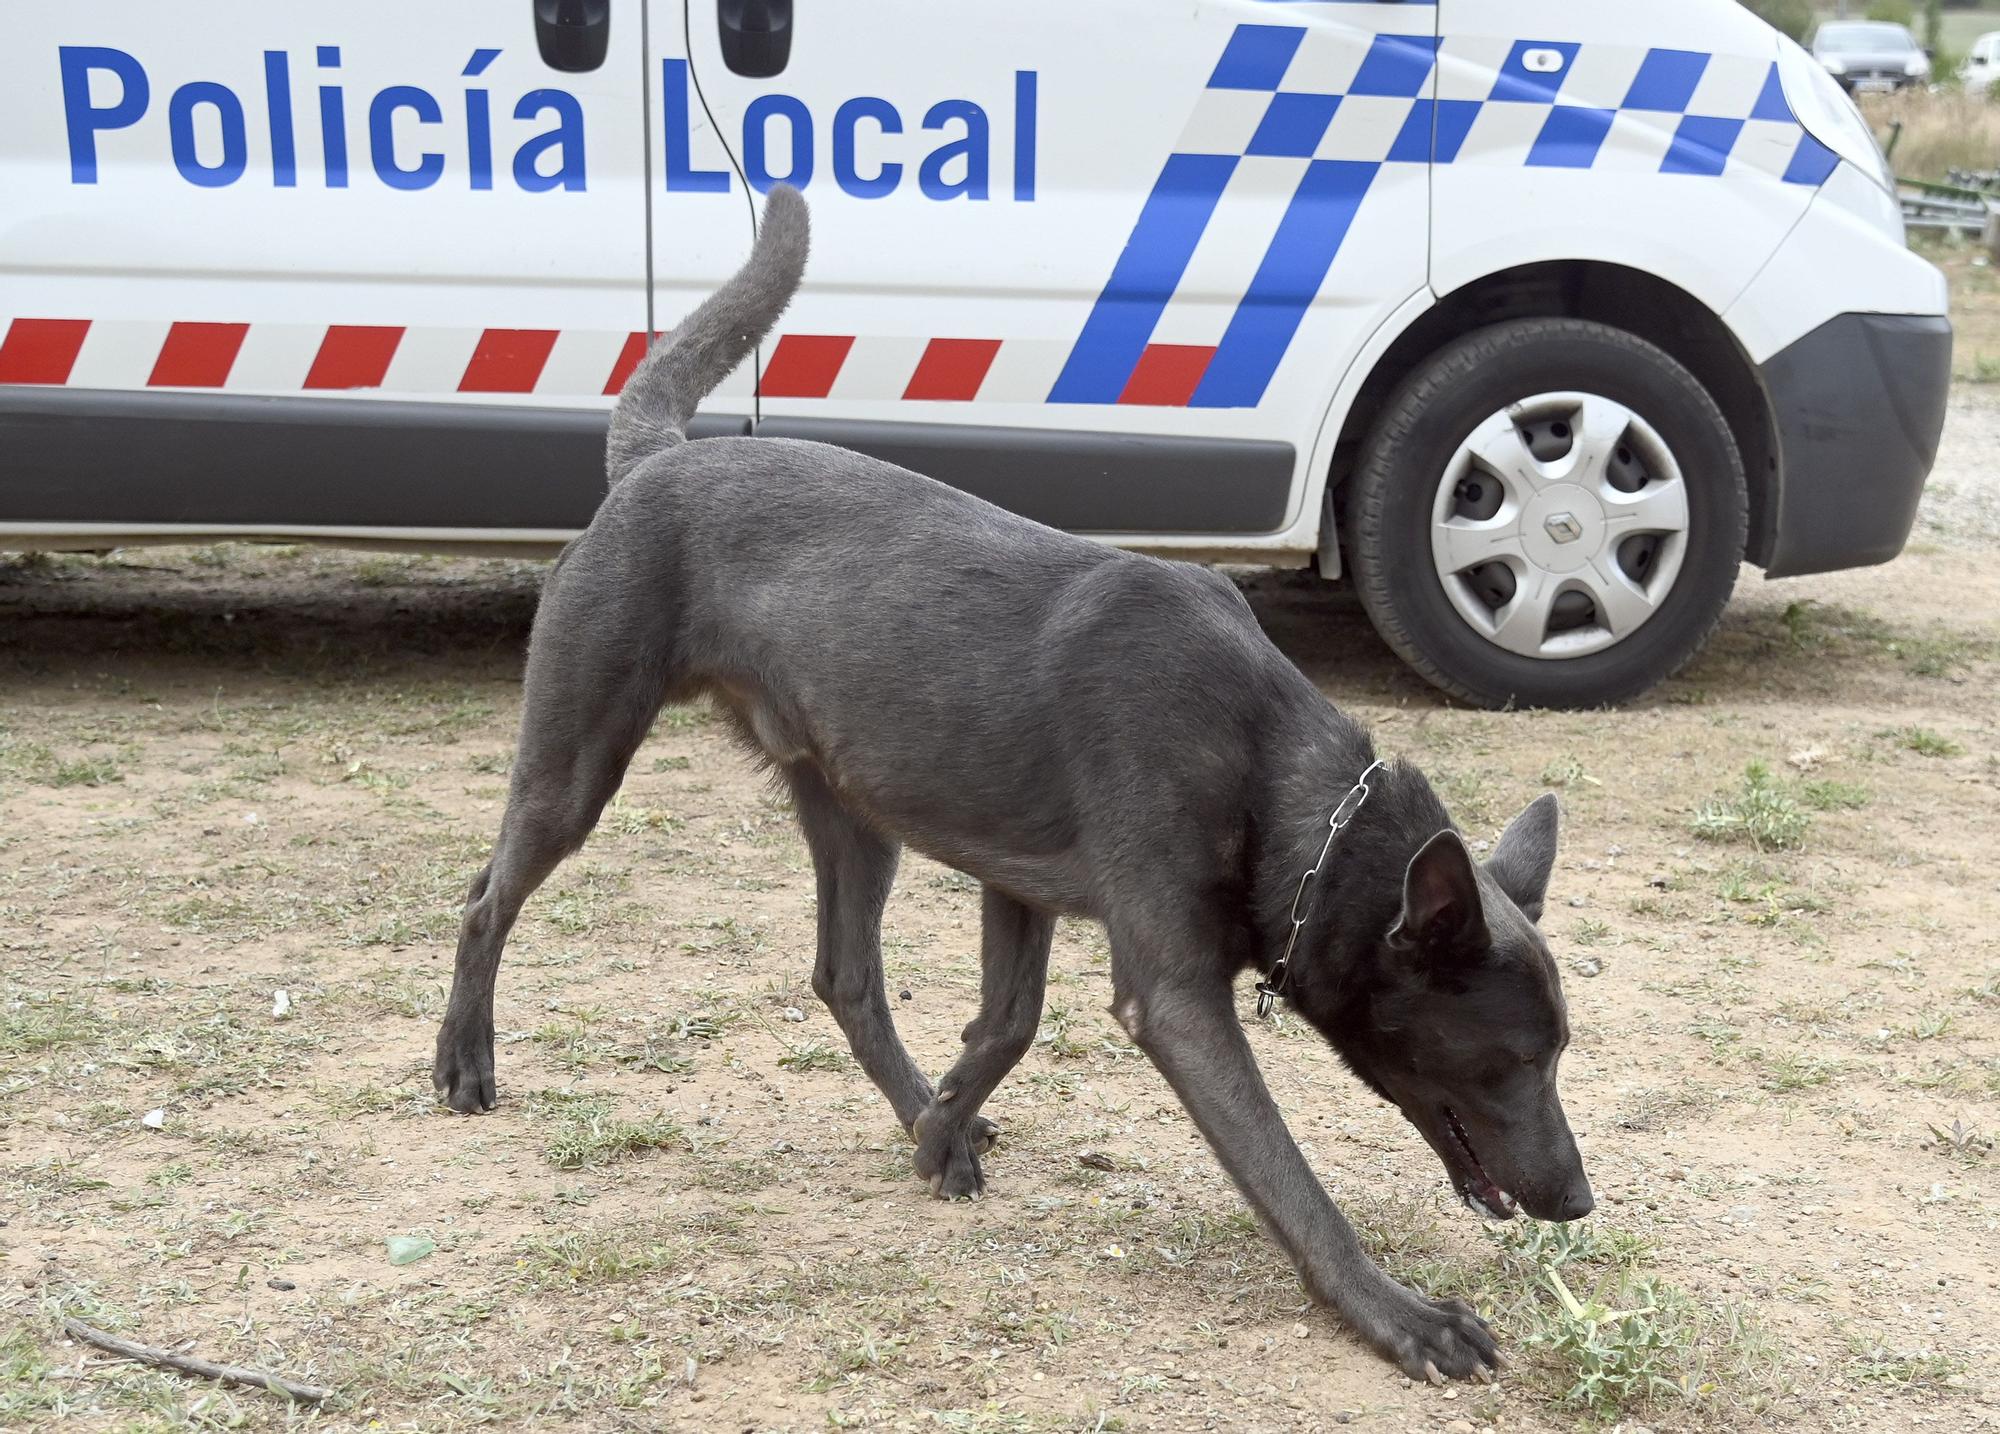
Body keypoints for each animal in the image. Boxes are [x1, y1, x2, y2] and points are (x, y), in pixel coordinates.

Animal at [438, 185, 1592, 1384]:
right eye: (1517, 1057)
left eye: (1559, 1054)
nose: (1577, 1201)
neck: (1280, 780)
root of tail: (658, 460)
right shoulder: (1174, 1000)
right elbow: (1290, 1182)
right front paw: (1397, 1315)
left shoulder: (1018, 887)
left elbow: (1008, 1025)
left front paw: (941, 1126)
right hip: (579, 762)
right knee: (484, 899)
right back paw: (464, 1063)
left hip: (856, 812)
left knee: (845, 979)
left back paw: (913, 1106)